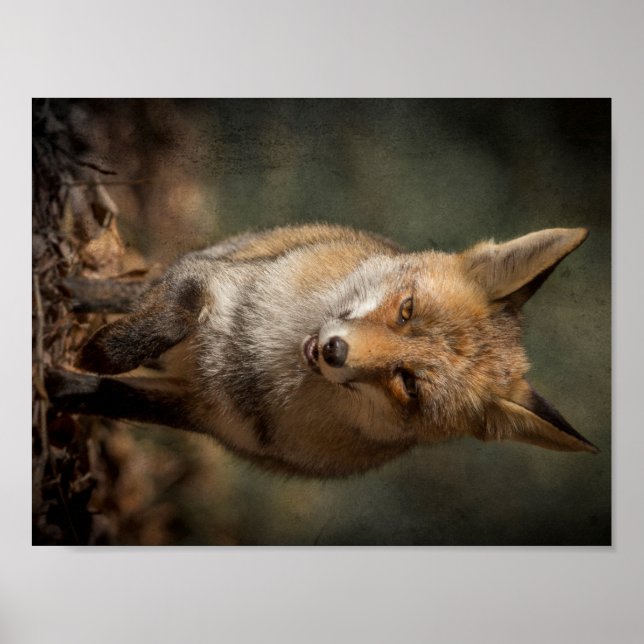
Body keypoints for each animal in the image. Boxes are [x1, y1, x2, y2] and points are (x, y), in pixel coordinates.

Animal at [47, 223, 598, 477]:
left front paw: (56, 383)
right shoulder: (212, 285)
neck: (254, 366)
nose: (334, 351)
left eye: (408, 384)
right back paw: (71, 293)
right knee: (133, 293)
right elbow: (171, 315)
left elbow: (107, 397)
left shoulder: (204, 413)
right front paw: (107, 351)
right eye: (406, 310)